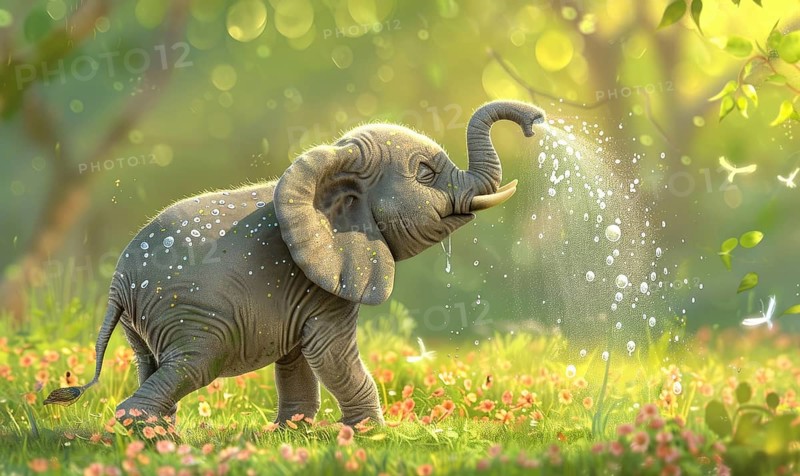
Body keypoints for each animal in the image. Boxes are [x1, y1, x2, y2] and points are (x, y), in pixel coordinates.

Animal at [44, 100, 545, 426]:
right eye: (425, 173)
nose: (536, 122)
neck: (333, 159)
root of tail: (117, 285)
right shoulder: (324, 284)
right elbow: (329, 353)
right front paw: (369, 434)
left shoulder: (300, 289)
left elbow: (297, 355)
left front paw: (295, 433)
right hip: (191, 315)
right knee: (193, 366)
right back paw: (148, 439)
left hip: (145, 324)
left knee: (152, 367)